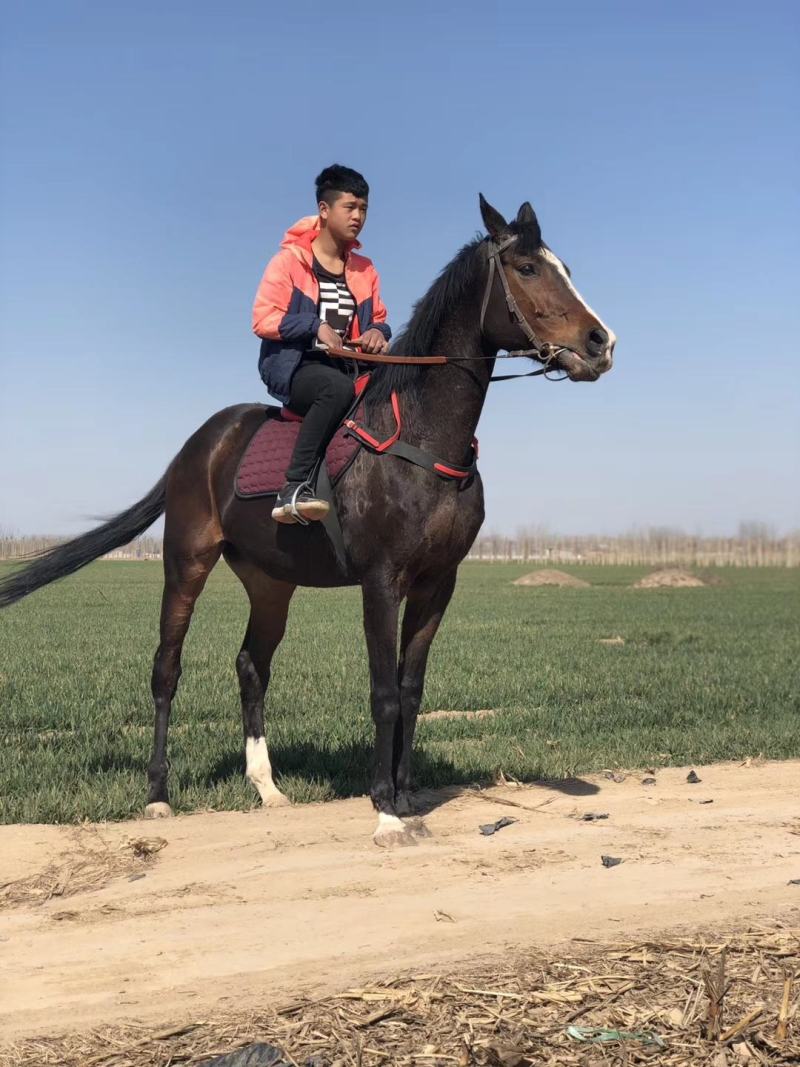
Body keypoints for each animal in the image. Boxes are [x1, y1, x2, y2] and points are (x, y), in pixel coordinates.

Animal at [0, 194, 615, 847]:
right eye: (527, 268)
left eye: (565, 267)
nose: (601, 342)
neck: (424, 438)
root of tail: (196, 447)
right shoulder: (381, 581)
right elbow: (384, 692)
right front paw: (386, 809)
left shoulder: (437, 584)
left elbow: (412, 689)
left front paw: (408, 794)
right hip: (186, 563)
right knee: (166, 669)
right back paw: (158, 796)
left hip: (271, 582)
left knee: (251, 665)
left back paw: (267, 787)